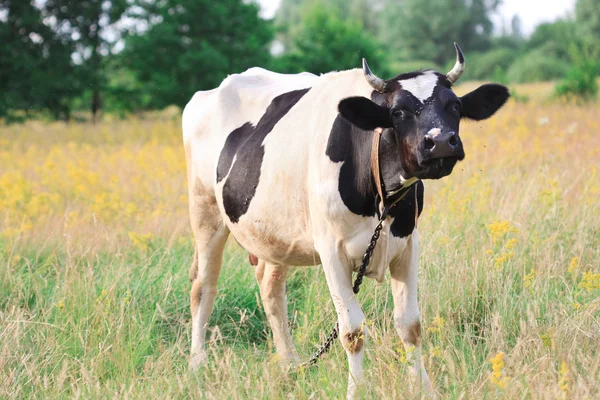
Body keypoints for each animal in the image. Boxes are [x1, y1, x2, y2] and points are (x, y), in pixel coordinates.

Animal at [182, 43, 506, 396]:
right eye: (398, 113)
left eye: (455, 105)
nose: (441, 142)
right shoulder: (331, 250)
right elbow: (352, 330)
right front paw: (357, 391)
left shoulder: (408, 243)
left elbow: (410, 324)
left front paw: (424, 390)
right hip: (205, 211)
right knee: (203, 286)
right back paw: (197, 363)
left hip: (274, 233)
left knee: (271, 287)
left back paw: (290, 363)